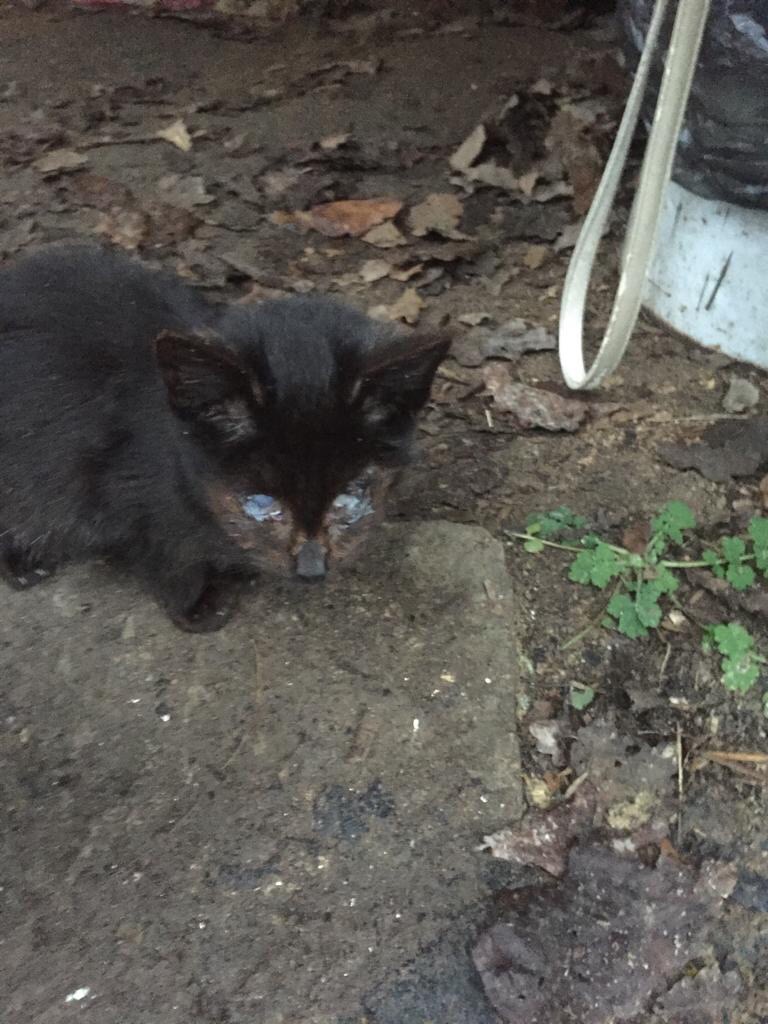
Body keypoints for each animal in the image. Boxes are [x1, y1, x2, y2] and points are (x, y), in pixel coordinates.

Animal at [0, 245, 450, 630]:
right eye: (261, 504)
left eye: (349, 499)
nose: (311, 569)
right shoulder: (126, 492)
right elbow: (166, 552)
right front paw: (196, 605)